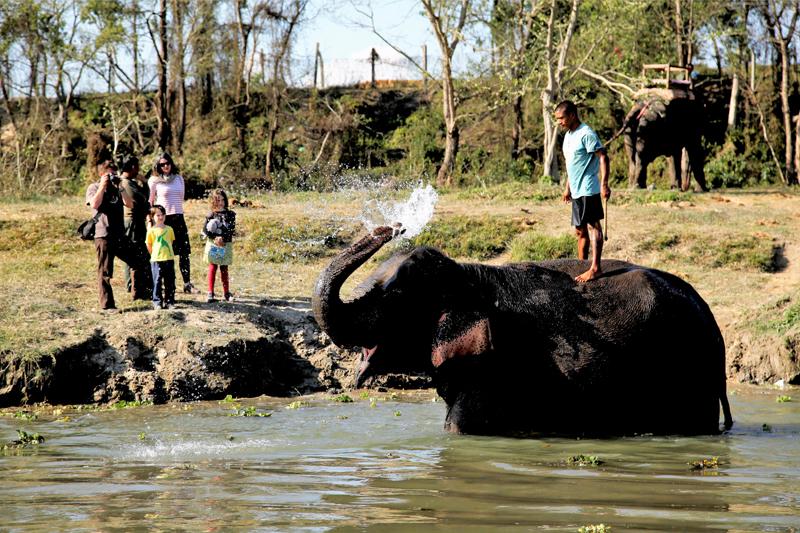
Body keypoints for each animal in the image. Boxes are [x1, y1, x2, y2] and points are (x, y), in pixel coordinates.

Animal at [310, 225, 732, 436]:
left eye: (396, 296)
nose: (391, 227)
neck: (469, 275)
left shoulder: (497, 368)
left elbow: (459, 429)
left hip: (685, 373)